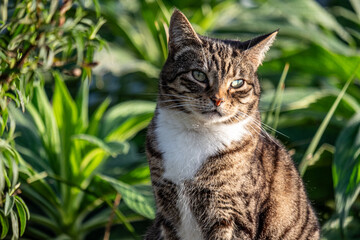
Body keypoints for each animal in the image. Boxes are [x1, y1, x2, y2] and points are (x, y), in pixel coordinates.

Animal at [145, 9, 320, 240]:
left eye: (237, 83)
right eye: (198, 75)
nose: (217, 100)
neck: (198, 132)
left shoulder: (231, 213)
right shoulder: (166, 211)